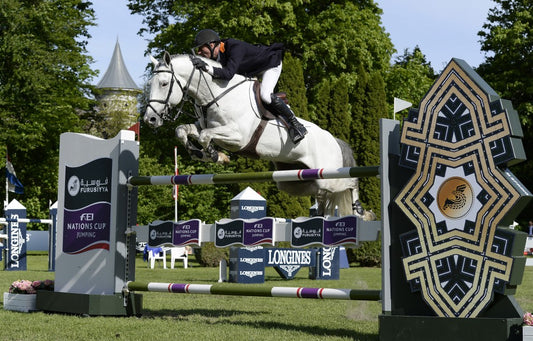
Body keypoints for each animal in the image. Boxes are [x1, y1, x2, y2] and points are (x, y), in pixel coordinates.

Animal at [143, 53, 372, 218]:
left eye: (164, 83)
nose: (150, 119)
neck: (217, 95)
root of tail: (334, 140)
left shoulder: (238, 138)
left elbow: (205, 136)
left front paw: (215, 155)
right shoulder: (203, 126)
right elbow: (183, 130)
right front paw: (200, 153)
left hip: (329, 176)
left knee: (351, 182)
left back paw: (360, 210)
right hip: (297, 182)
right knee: (321, 195)